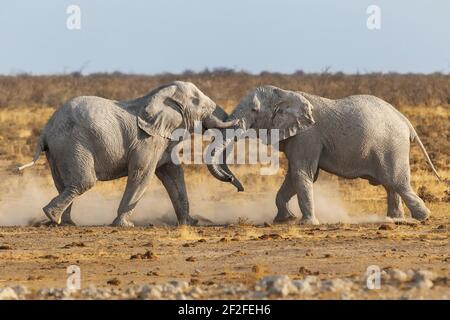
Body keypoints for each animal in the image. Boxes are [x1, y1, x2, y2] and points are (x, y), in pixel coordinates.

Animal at [18, 81, 241, 226]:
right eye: (198, 103)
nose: (234, 182)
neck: (158, 97)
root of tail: (46, 130)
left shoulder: (163, 141)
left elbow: (173, 176)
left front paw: (189, 223)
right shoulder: (148, 140)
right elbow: (142, 174)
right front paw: (124, 225)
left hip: (57, 150)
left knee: (63, 183)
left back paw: (65, 222)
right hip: (72, 144)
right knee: (84, 181)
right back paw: (52, 216)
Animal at [210, 85, 440, 225]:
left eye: (254, 110)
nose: (237, 185)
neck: (285, 93)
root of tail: (406, 121)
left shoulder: (308, 135)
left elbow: (303, 174)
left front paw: (306, 224)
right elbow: (294, 175)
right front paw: (285, 220)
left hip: (393, 146)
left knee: (397, 182)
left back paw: (422, 218)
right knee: (391, 185)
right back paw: (395, 220)